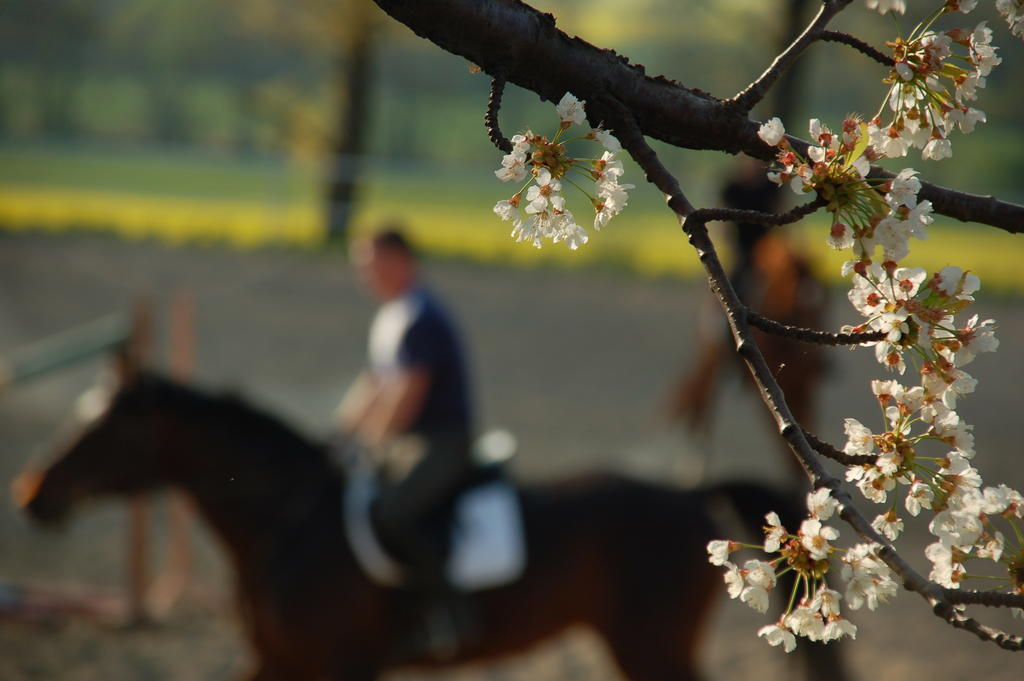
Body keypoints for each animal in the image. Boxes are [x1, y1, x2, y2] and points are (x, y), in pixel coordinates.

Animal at [19, 372, 839, 679]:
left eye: (109, 431)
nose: (30, 493)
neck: (286, 523)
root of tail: (691, 494)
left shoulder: (341, 665)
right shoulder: (279, 662)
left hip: (651, 646)